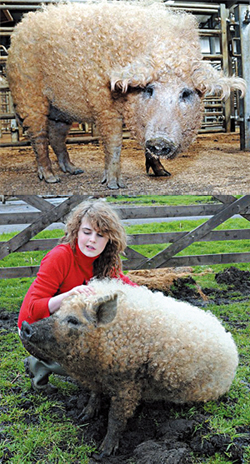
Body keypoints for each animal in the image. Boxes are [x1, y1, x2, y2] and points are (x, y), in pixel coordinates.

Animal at [6, 0, 246, 188]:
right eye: (149, 89)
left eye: (186, 93)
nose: (160, 140)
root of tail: (19, 29)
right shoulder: (104, 105)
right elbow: (114, 143)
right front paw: (114, 185)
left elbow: (146, 147)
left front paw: (162, 173)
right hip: (29, 95)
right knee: (38, 137)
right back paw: (50, 178)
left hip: (61, 110)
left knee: (56, 136)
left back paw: (74, 170)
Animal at [20, 278, 238, 458]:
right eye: (57, 312)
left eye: (73, 320)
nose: (26, 326)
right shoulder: (98, 377)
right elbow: (94, 394)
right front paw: (83, 416)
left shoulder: (128, 383)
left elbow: (116, 417)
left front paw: (104, 452)